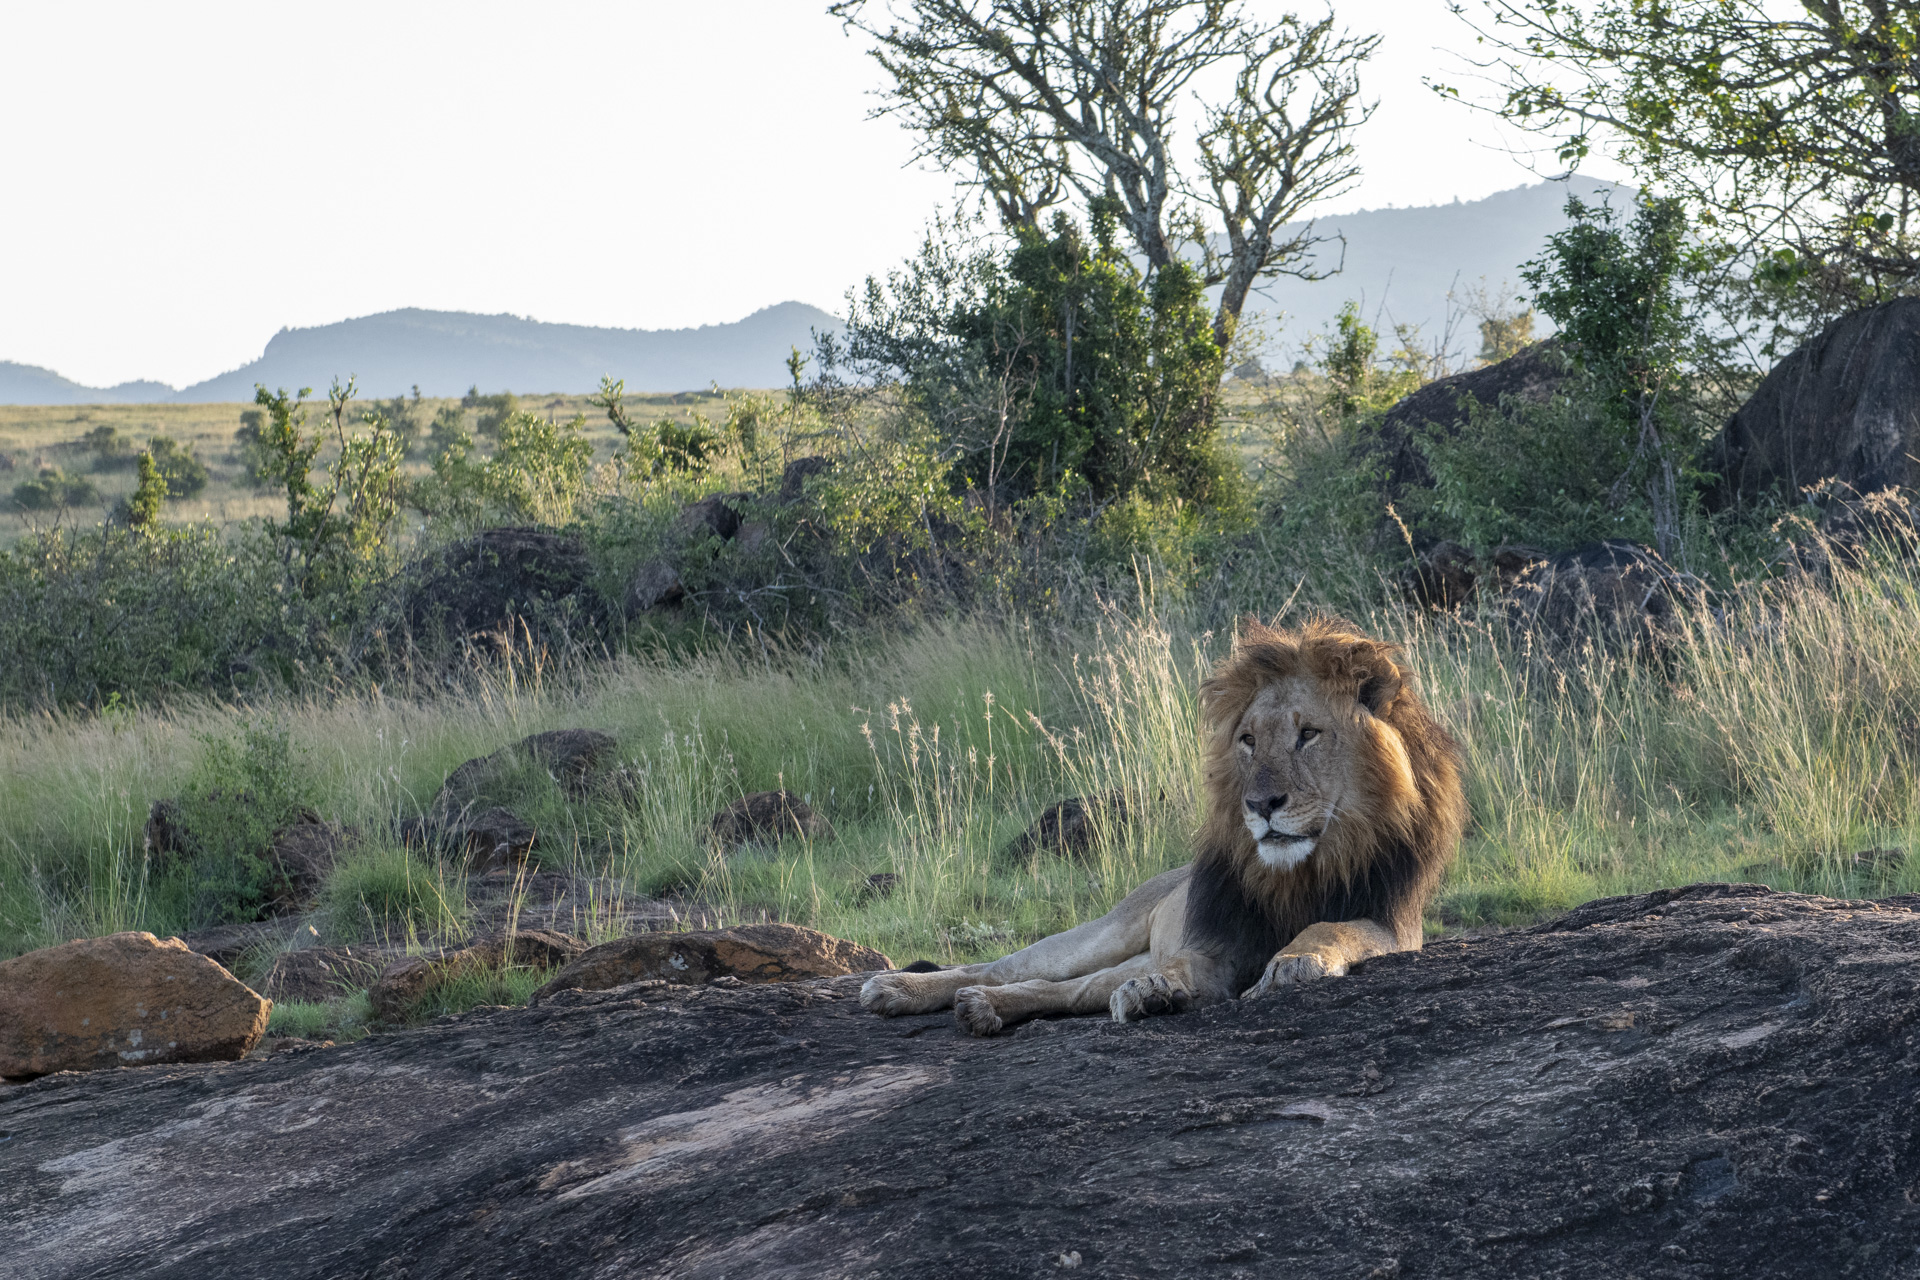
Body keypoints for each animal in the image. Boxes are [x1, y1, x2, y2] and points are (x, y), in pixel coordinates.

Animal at [860, 617, 1467, 1036]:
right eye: (1249, 740)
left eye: (1309, 734)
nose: (1259, 804)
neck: (1301, 870)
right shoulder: (1215, 941)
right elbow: (1183, 965)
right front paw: (1159, 989)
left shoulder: (1394, 923)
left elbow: (1330, 928)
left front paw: (1293, 962)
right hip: (1102, 933)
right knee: (999, 967)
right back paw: (897, 988)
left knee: (1066, 991)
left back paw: (985, 1010)